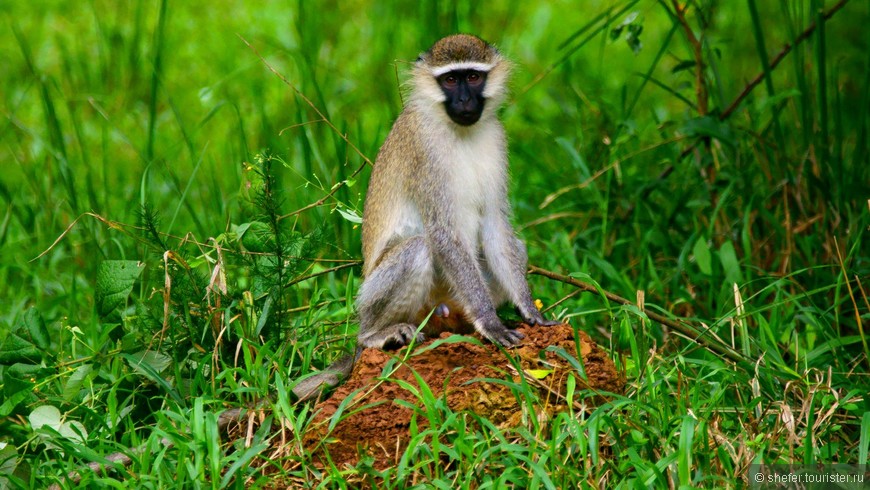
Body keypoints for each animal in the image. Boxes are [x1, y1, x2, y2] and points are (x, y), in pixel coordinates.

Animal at [292, 33, 556, 402]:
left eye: (472, 77)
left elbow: (496, 226)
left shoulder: (497, 139)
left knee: (516, 246)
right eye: (450, 80)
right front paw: (490, 322)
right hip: (384, 301)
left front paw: (529, 310)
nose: (464, 100)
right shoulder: (425, 152)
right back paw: (373, 335)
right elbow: (442, 232)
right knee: (417, 248)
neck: (457, 131)